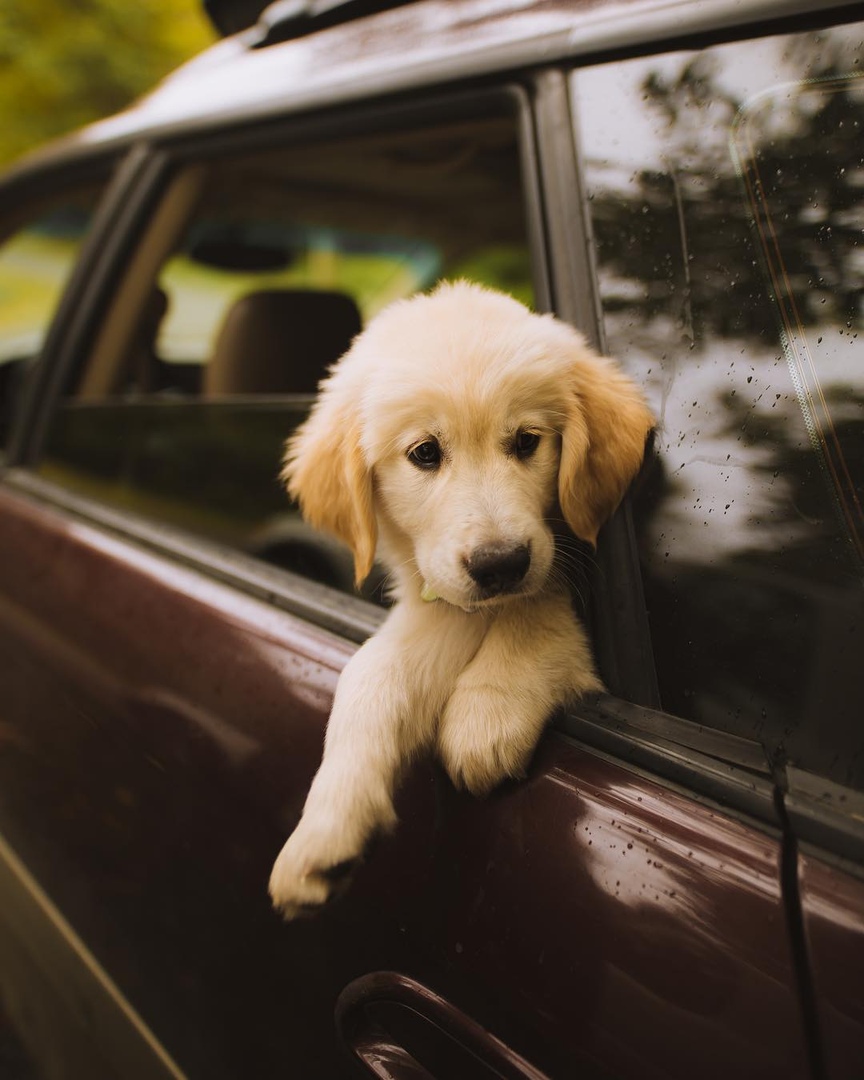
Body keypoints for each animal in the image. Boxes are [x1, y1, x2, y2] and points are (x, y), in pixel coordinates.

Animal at [266, 280, 652, 920]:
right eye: (425, 452)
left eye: (526, 441)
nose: (500, 564)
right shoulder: (438, 602)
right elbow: (369, 673)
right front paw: (325, 831)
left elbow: (537, 607)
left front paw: (485, 713)